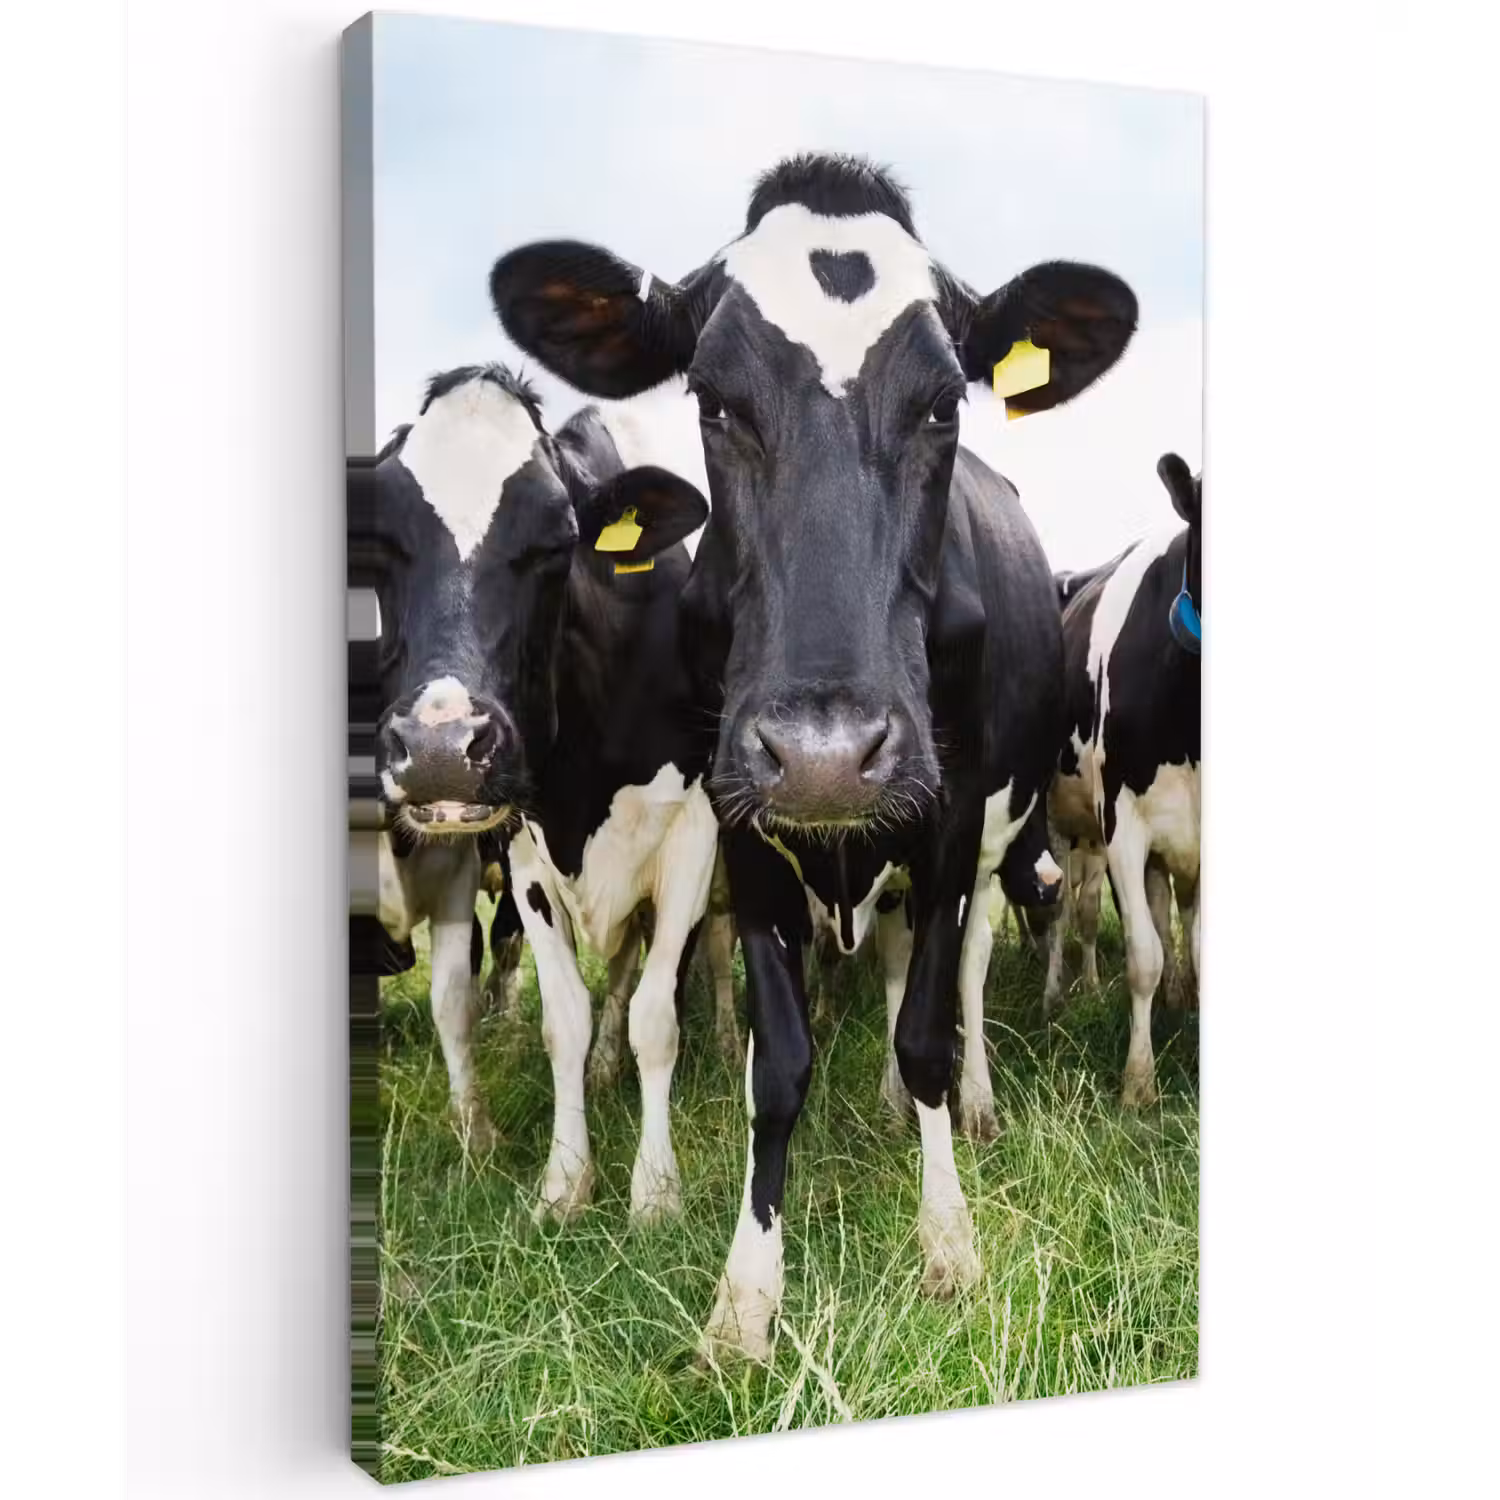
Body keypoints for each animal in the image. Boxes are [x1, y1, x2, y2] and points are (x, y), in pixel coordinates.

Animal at [358, 363, 720, 1224]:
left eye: (557, 543)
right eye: (380, 542)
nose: (440, 751)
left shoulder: (695, 836)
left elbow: (658, 1015)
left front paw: (656, 1191)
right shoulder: (524, 848)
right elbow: (567, 1019)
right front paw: (565, 1181)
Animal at [490, 151, 1136, 1361]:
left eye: (943, 402)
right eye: (712, 399)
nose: (830, 756)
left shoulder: (949, 821)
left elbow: (927, 1029)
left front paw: (948, 1241)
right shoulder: (741, 828)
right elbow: (776, 1063)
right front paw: (746, 1296)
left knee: (958, 977)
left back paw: (961, 1107)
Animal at [1037, 452, 1202, 1105]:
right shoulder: (1123, 827)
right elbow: (1142, 956)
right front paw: (1138, 1082)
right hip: (1059, 824)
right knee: (1065, 912)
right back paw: (1058, 994)